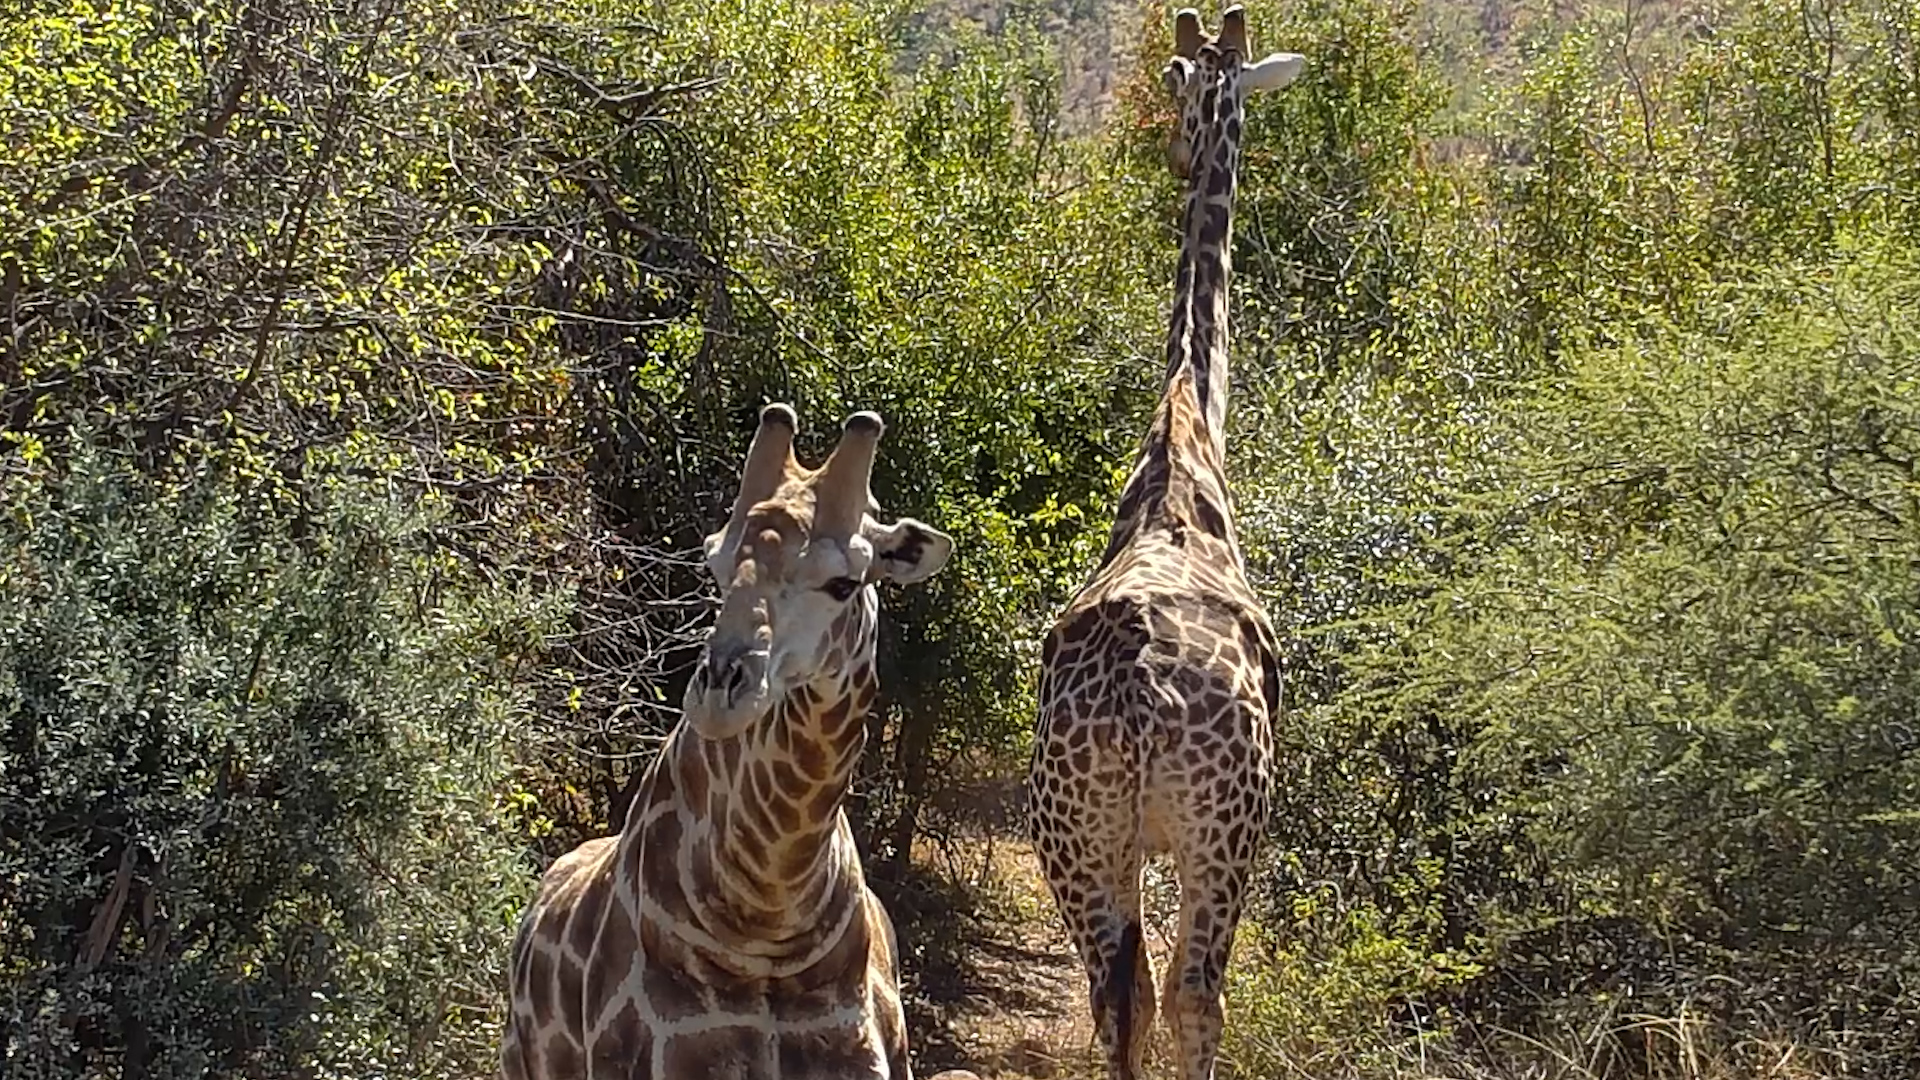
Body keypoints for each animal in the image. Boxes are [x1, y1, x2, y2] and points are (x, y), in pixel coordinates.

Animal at [1026, 8, 1303, 1080]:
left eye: (1186, 84)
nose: (1179, 148)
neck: (1190, 411)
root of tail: (1142, 691)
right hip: (1218, 834)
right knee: (1190, 992)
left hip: (1076, 835)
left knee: (1119, 993)